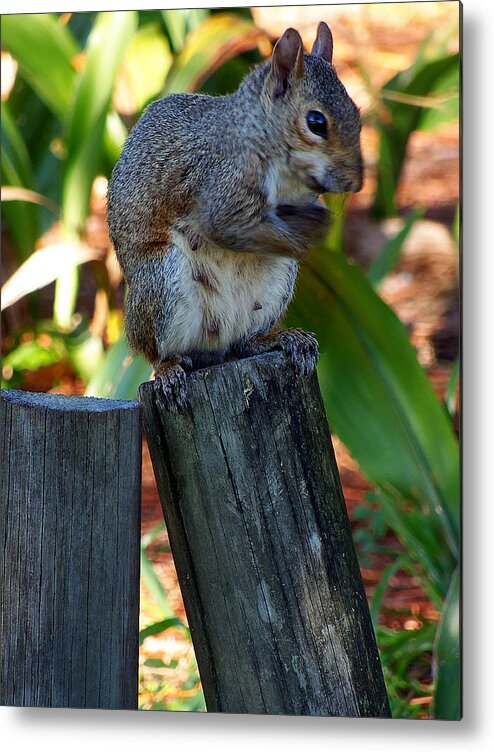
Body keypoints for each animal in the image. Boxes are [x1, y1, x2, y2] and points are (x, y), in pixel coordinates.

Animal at [109, 22, 362, 412]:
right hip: (161, 283)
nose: (355, 181)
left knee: (244, 344)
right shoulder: (221, 182)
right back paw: (168, 369)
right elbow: (226, 227)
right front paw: (313, 237)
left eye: (357, 113)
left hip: (273, 288)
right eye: (316, 122)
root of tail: (214, 347)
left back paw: (281, 340)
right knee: (156, 352)